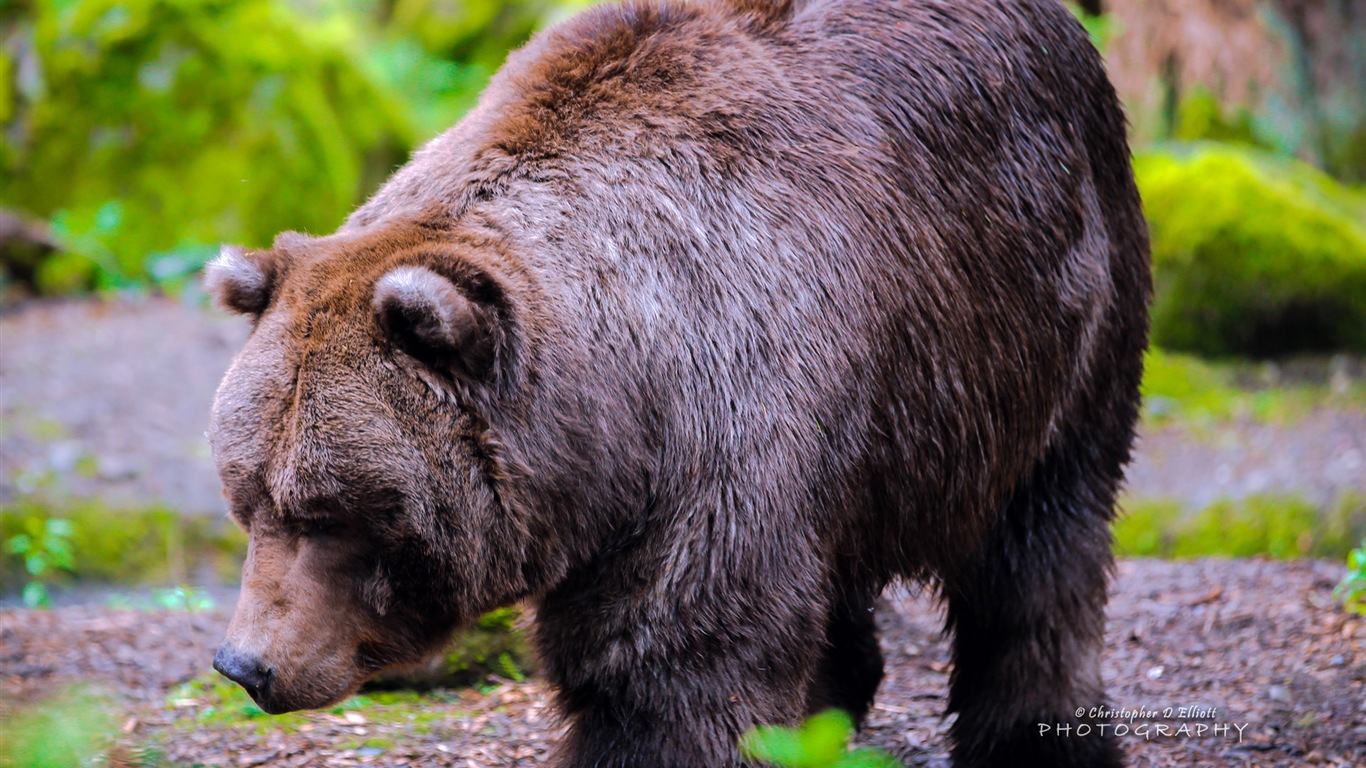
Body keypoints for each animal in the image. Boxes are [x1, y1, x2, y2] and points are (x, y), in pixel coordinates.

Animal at [210, 1, 1152, 765]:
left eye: (330, 509)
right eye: (247, 495)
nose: (246, 663)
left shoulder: (722, 428)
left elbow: (670, 659)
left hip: (1048, 305)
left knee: (1043, 539)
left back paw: (1039, 736)